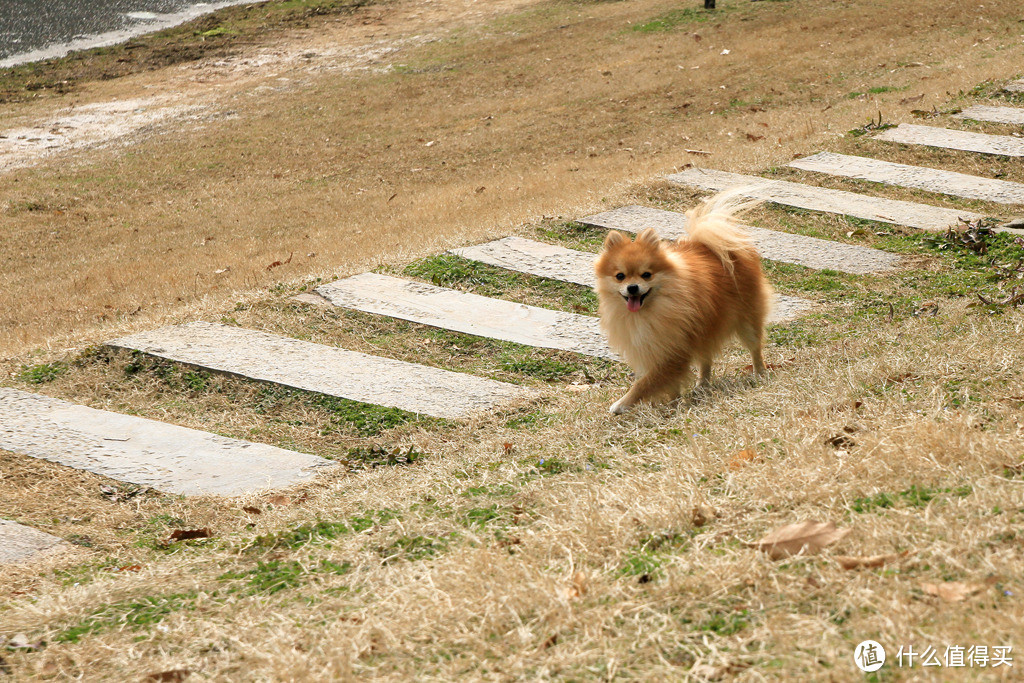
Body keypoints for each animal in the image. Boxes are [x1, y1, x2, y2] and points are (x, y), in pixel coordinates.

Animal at [598, 193, 770, 417]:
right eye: (620, 276)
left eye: (646, 275)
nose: (633, 287)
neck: (648, 312)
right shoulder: (660, 347)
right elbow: (665, 381)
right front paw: (674, 402)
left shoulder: (674, 349)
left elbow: (646, 382)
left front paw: (622, 404)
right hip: (706, 326)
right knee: (706, 356)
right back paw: (703, 384)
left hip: (747, 320)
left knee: (754, 347)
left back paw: (759, 372)